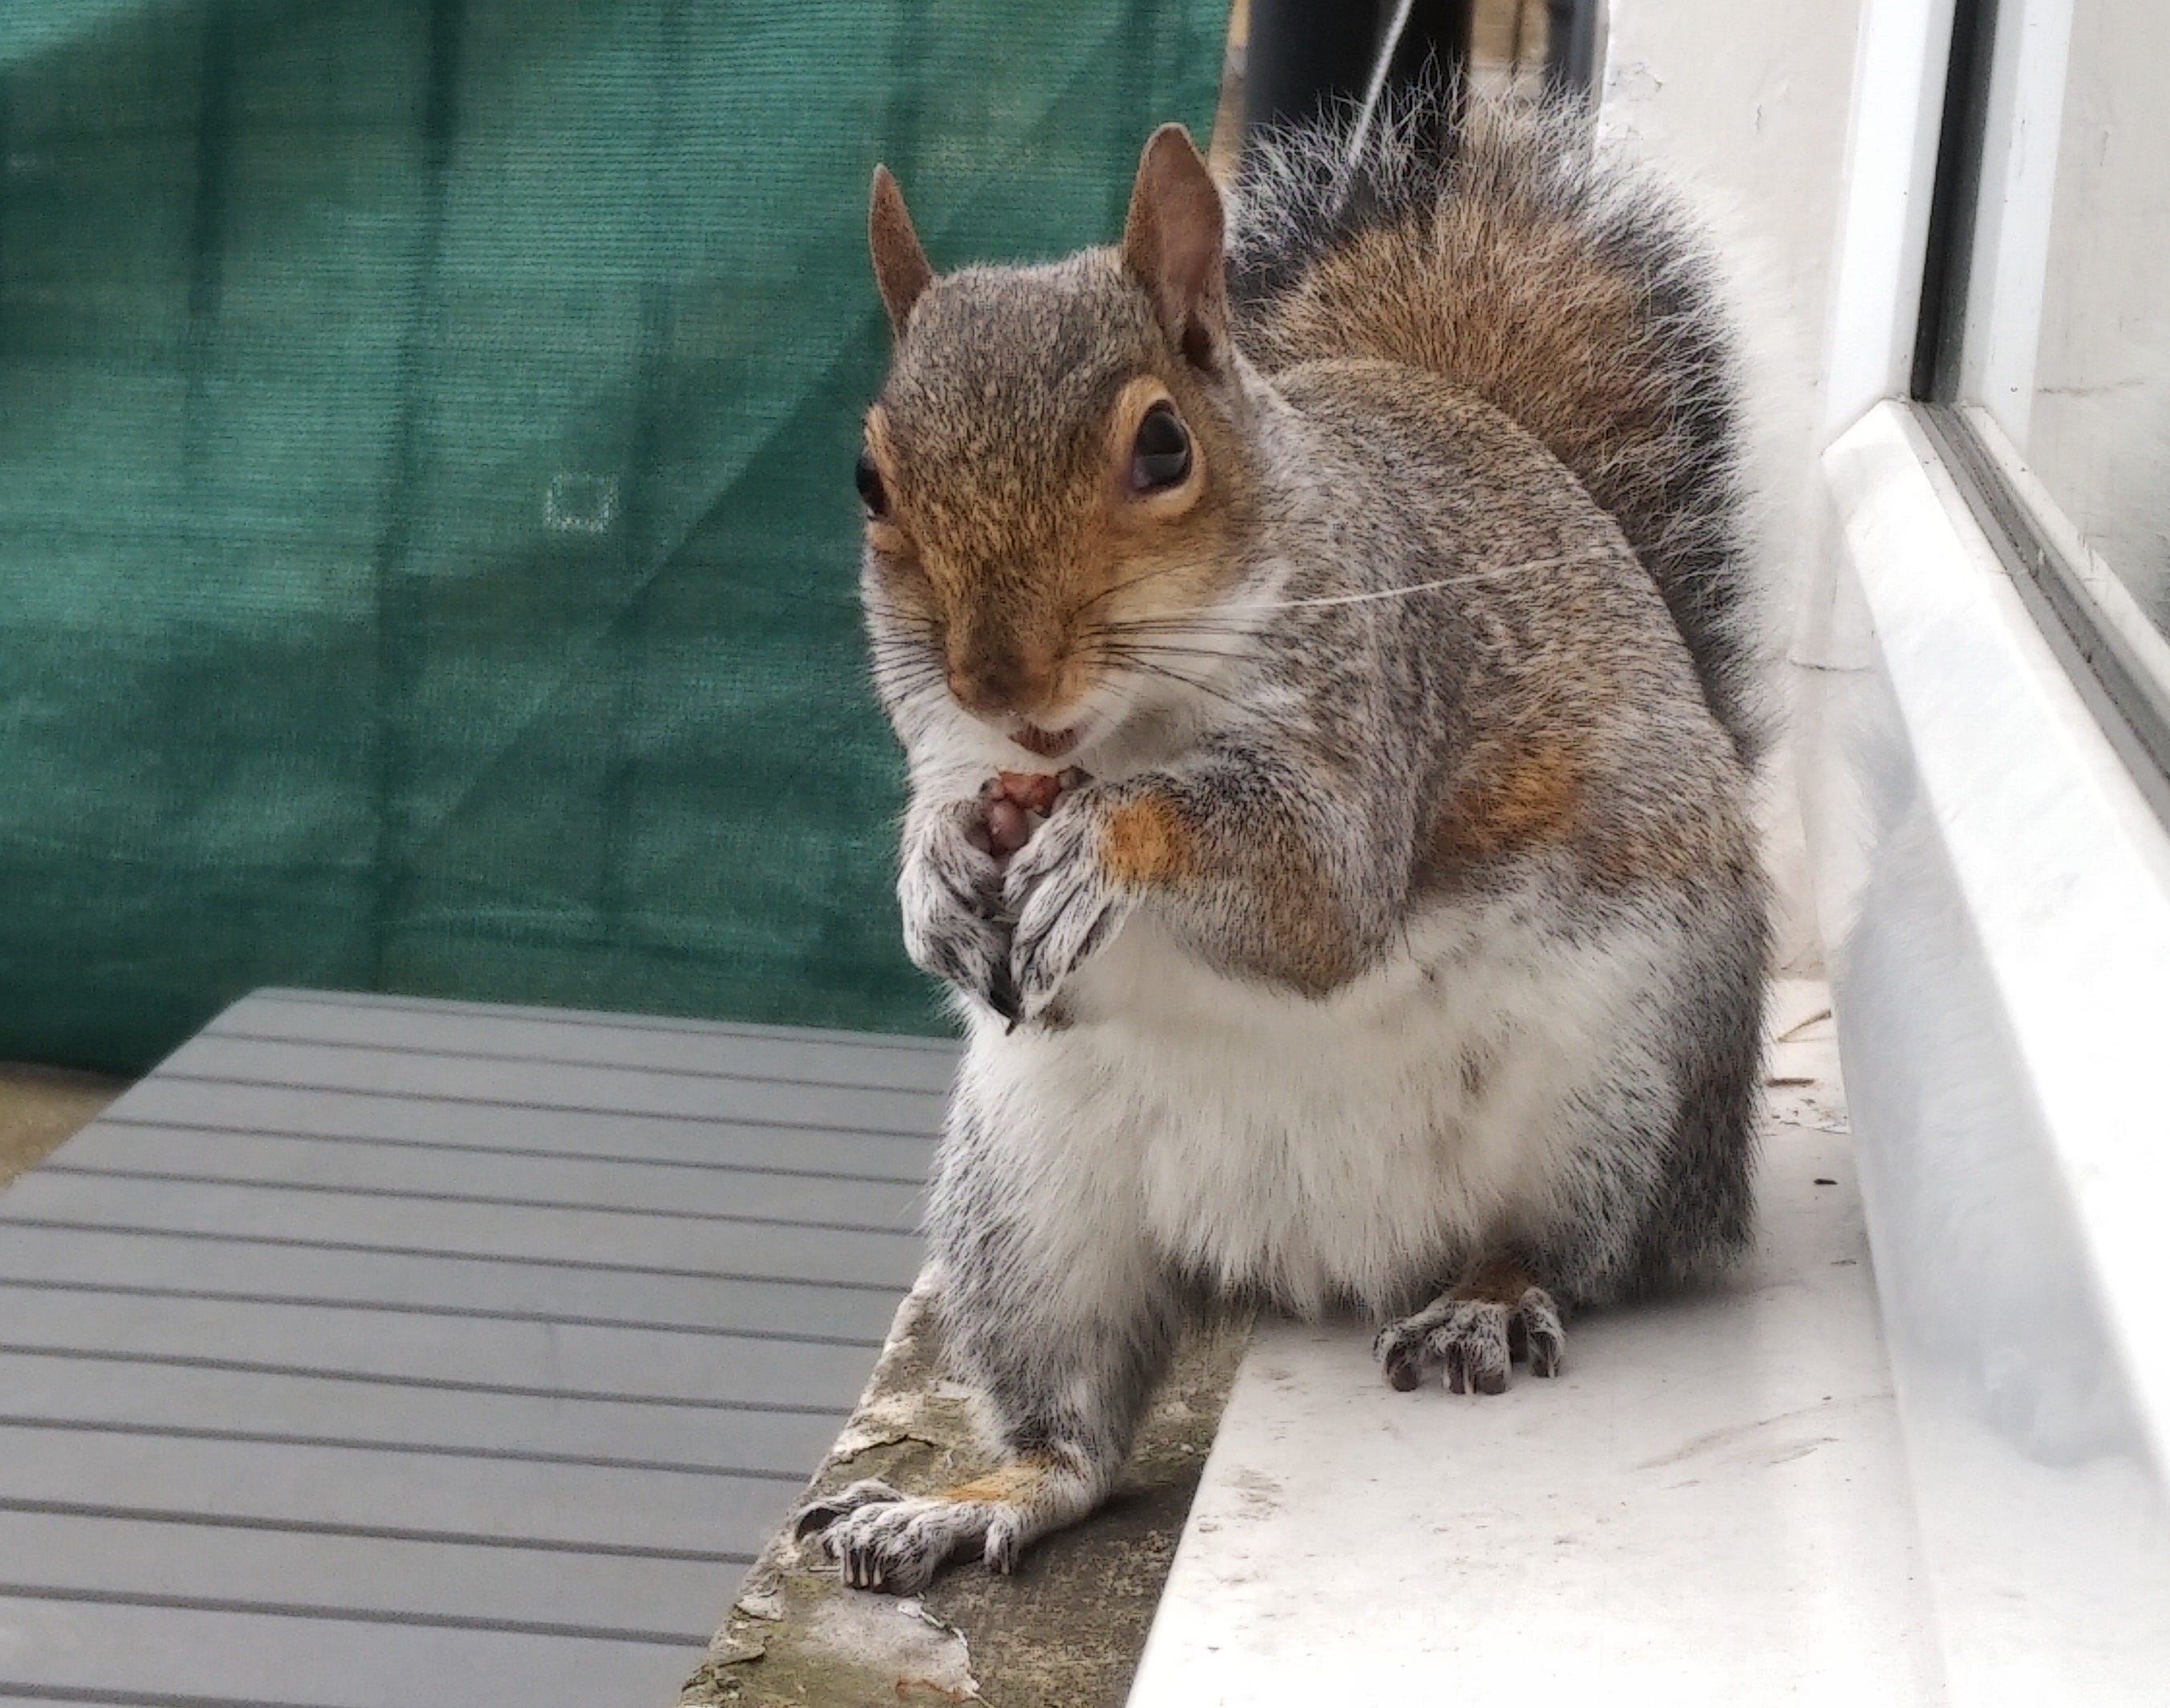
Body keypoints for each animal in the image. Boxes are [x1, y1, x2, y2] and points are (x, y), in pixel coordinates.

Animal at [797, 92, 1771, 1593]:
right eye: (867, 479)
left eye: (1162, 446)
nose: (1001, 681)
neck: (1119, 727)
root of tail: (1310, 1257)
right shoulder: (952, 743)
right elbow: (946, 809)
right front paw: (934, 876)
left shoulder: (1374, 703)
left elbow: (1317, 899)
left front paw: (1102, 842)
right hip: (1029, 1205)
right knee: (1076, 1433)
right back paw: (968, 1499)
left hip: (1619, 1092)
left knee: (1568, 1247)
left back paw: (1484, 1302)